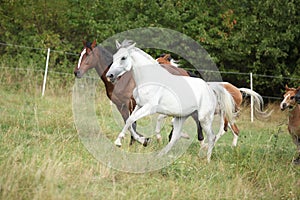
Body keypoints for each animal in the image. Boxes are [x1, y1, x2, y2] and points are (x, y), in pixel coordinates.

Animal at [73, 40, 204, 146]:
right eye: (80, 54)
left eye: (88, 55)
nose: (76, 72)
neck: (121, 79)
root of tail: (185, 72)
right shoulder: (120, 105)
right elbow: (128, 122)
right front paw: (141, 140)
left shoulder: (131, 103)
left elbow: (133, 123)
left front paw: (136, 142)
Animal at [105, 39, 237, 162]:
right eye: (114, 57)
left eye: (123, 57)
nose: (109, 75)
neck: (149, 80)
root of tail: (210, 88)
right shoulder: (139, 105)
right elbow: (130, 122)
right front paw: (143, 140)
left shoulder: (149, 108)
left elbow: (130, 120)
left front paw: (119, 142)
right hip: (182, 116)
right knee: (176, 136)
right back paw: (160, 155)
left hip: (203, 118)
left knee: (212, 137)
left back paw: (207, 160)